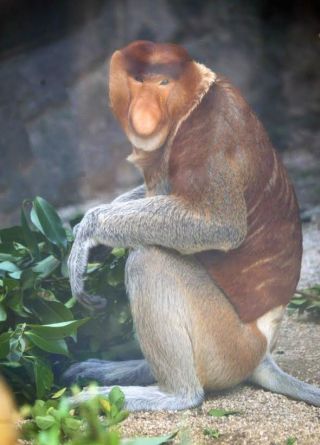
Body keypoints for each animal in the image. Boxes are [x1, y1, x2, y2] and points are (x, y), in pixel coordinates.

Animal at [65, 40, 320, 408]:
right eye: (137, 81)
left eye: (162, 84)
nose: (144, 110)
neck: (194, 100)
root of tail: (262, 352)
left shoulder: (209, 135)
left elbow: (218, 225)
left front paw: (87, 234)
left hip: (226, 341)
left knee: (150, 259)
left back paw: (173, 395)